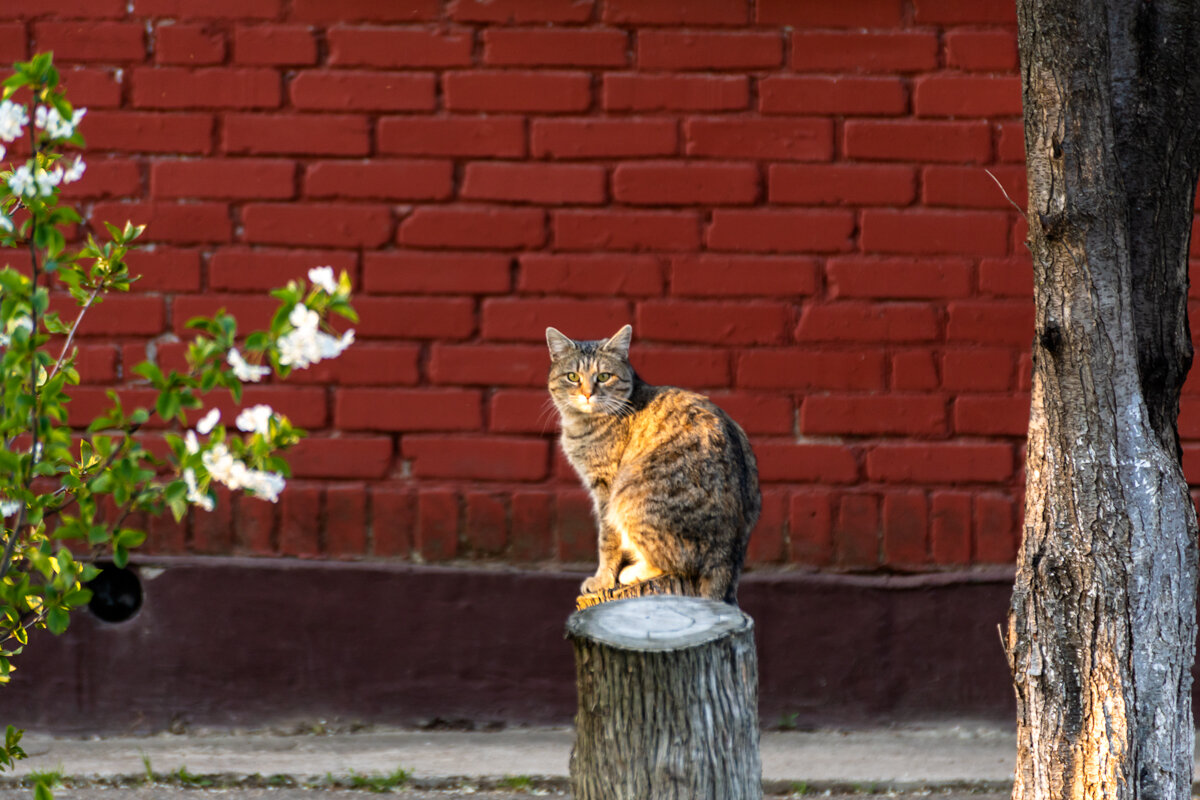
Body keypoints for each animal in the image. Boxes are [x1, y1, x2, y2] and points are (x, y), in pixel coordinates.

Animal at [547, 321, 758, 604]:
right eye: (572, 377)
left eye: (603, 377)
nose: (588, 394)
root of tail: (728, 553)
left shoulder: (606, 489)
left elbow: (607, 541)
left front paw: (602, 580)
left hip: (629, 498)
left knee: (674, 561)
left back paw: (633, 571)